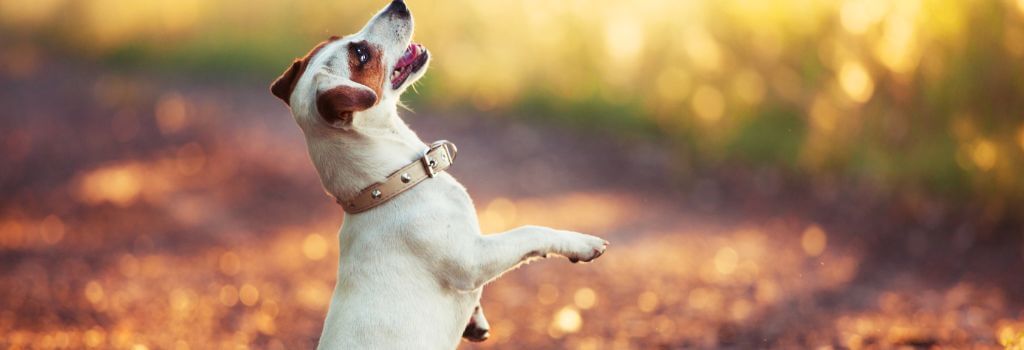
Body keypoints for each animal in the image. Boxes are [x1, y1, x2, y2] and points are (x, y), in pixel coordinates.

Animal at [270, 1, 606, 347]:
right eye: (361, 54)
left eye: (340, 38)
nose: (398, 4)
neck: (388, 185)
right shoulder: (473, 260)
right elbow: (529, 231)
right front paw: (582, 244)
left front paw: (476, 321)